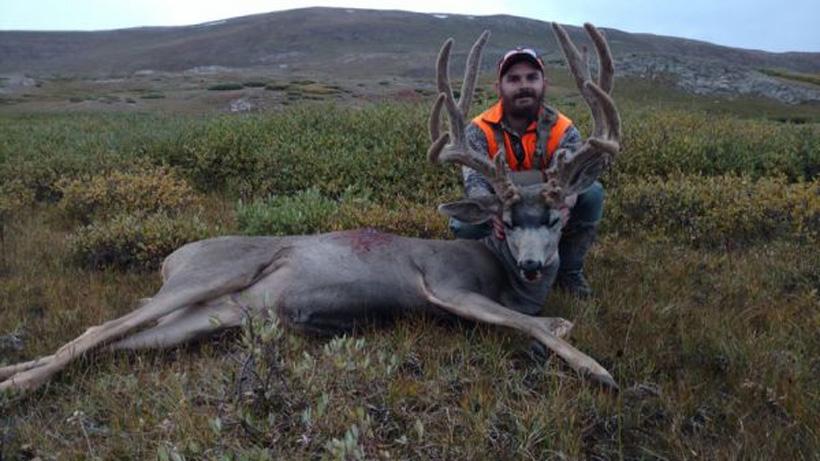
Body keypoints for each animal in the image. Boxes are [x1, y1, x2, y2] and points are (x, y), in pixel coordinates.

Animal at [0, 22, 620, 394]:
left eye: (557, 217)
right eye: (506, 221)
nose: (535, 265)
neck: (500, 273)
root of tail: (173, 255)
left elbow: (543, 318)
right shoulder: (447, 284)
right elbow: (540, 323)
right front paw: (599, 370)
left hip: (209, 316)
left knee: (107, 341)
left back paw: (14, 374)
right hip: (210, 274)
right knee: (99, 327)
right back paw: (14, 388)